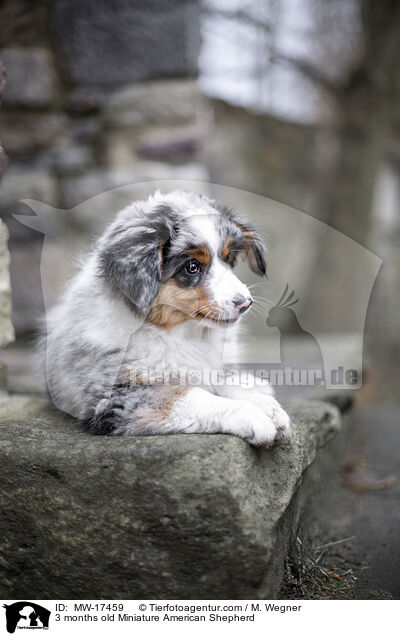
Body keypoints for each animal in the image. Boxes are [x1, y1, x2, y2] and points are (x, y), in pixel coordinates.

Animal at [41, 191, 290, 444]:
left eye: (229, 259)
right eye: (192, 267)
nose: (245, 304)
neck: (179, 332)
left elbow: (218, 381)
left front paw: (269, 408)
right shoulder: (118, 397)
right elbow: (192, 396)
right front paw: (254, 417)